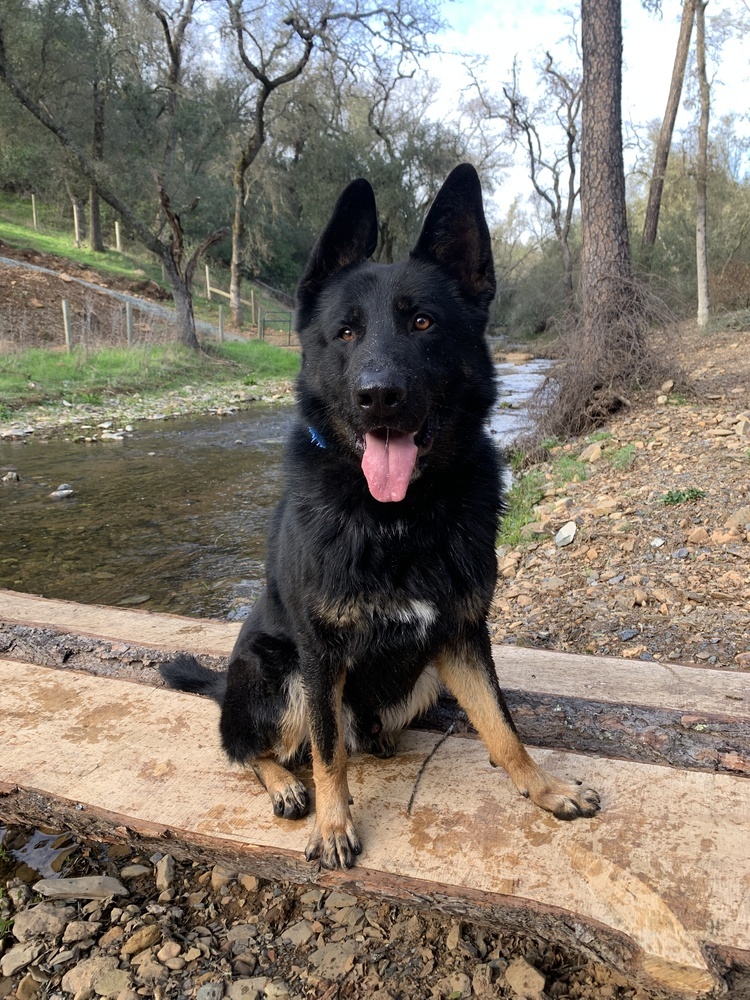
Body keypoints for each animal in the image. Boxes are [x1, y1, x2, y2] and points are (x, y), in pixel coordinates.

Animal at [162, 164, 604, 868]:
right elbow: (325, 754)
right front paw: (334, 825)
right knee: (255, 748)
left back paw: (376, 740)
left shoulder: (461, 634)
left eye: (423, 322)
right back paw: (286, 785)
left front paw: (545, 788)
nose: (379, 397)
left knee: (350, 735)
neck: (396, 516)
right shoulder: (319, 656)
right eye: (346, 332)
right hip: (281, 673)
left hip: (422, 677)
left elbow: (502, 727)